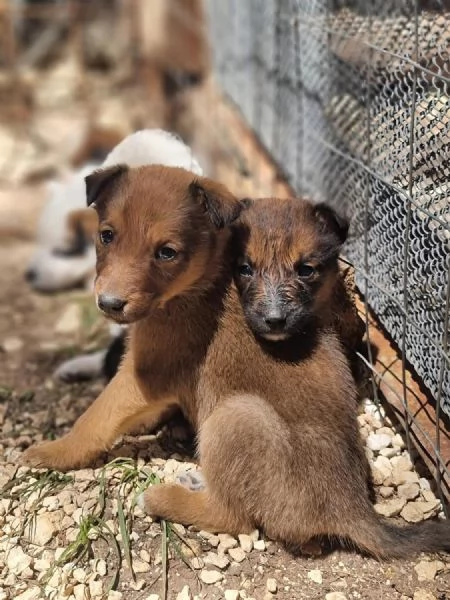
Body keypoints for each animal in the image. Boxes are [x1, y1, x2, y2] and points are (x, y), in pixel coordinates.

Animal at [22, 171, 450, 560]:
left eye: (166, 252)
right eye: (107, 235)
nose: (109, 303)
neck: (198, 284)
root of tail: (352, 510)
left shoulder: (142, 374)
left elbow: (94, 418)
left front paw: (54, 451)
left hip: (236, 416)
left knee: (234, 518)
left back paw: (165, 498)